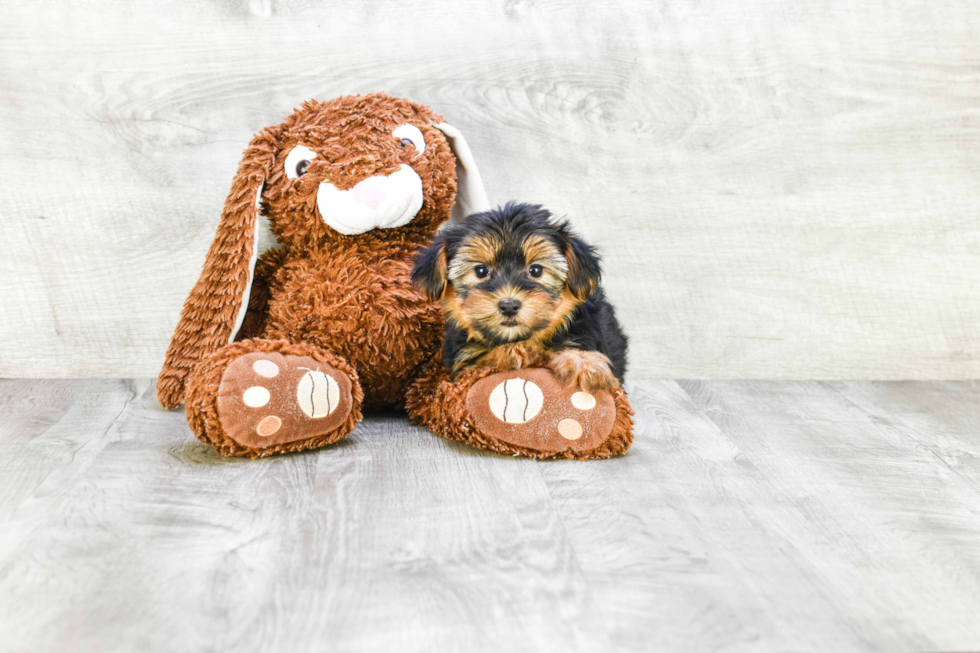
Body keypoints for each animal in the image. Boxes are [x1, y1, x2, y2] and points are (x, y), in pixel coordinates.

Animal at [412, 201, 628, 390]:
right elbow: (484, 361)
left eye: (536, 270)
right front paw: (513, 351)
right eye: (481, 271)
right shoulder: (465, 366)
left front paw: (583, 362)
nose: (509, 305)